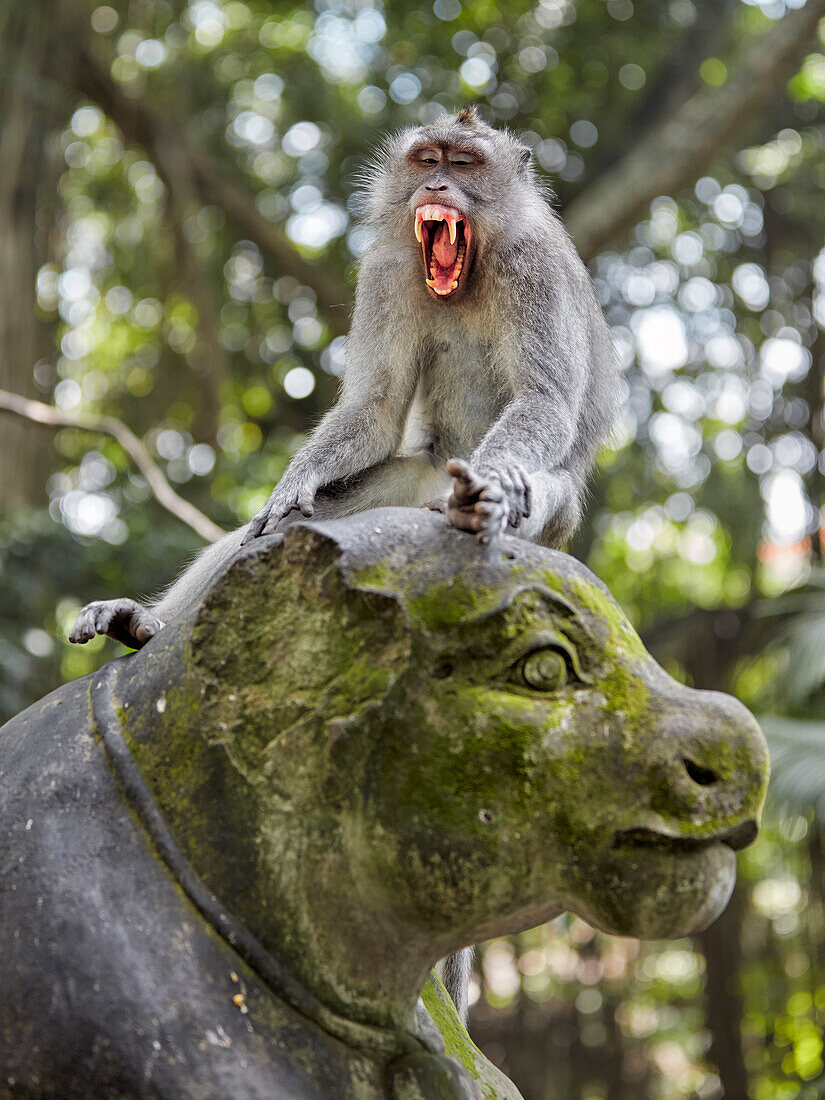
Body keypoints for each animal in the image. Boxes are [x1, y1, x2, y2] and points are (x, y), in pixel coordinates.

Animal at [69, 107, 620, 1016]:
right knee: (290, 525)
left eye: (466, 162)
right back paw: (145, 624)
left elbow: (541, 402)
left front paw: (498, 488)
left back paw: (483, 503)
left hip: (546, 522)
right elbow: (367, 409)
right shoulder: (388, 271)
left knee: (532, 485)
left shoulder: (534, 272)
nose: (438, 185)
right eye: (426, 159)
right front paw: (289, 489)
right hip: (411, 476)